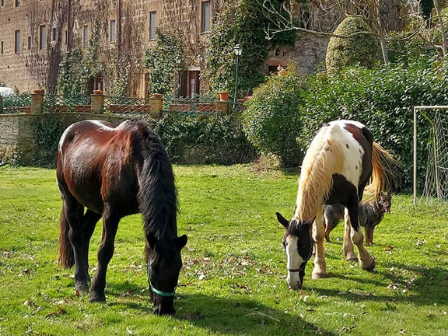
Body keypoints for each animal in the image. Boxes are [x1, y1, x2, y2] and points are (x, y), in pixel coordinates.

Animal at [57, 120, 186, 316]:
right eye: (155, 268)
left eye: (179, 266)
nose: (164, 309)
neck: (135, 161)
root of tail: (69, 131)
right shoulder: (111, 212)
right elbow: (105, 251)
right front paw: (97, 293)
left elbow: (147, 249)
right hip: (71, 199)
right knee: (76, 237)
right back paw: (81, 281)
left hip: (95, 206)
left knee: (85, 233)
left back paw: (87, 276)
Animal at [276, 120, 400, 288]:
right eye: (284, 244)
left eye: (303, 245)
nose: (293, 283)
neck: (330, 158)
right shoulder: (318, 202)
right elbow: (318, 234)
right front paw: (319, 269)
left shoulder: (353, 199)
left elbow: (357, 236)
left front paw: (367, 262)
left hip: (359, 192)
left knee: (348, 221)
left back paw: (351, 254)